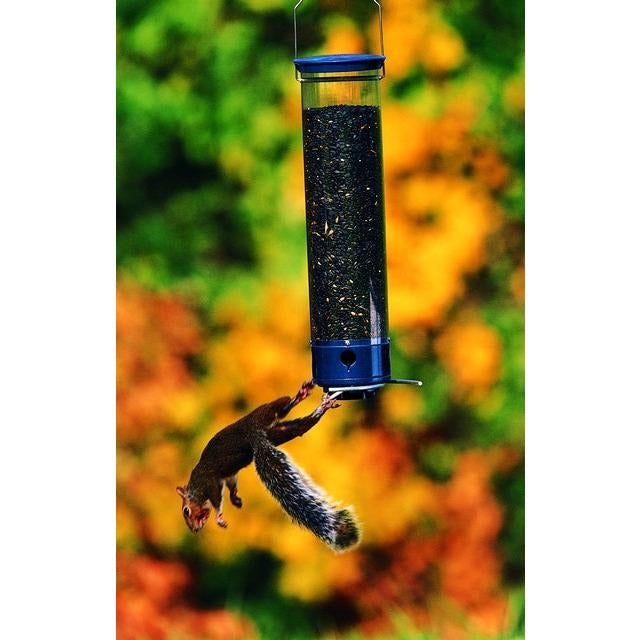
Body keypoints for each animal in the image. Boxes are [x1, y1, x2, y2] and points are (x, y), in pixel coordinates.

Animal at [176, 381, 361, 552]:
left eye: (186, 511)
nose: (194, 530)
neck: (195, 489)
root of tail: (254, 434)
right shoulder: (228, 476)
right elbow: (232, 484)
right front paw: (235, 499)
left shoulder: (210, 482)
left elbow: (217, 500)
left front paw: (219, 517)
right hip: (279, 432)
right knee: (301, 425)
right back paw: (320, 408)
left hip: (264, 414)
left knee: (283, 407)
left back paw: (301, 395)